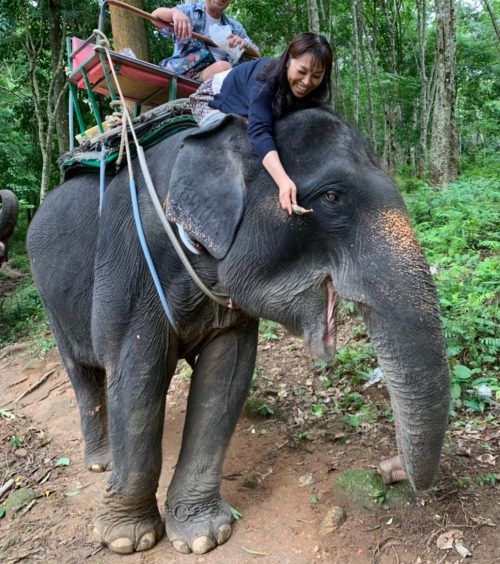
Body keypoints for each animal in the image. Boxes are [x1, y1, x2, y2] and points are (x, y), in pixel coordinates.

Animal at [26, 109, 450, 556]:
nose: (389, 469)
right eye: (333, 197)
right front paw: (128, 539)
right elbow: (136, 378)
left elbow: (225, 378)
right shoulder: (131, 267)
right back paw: (100, 461)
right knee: (83, 375)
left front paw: (201, 537)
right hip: (49, 300)